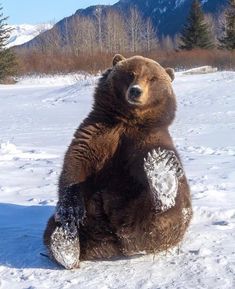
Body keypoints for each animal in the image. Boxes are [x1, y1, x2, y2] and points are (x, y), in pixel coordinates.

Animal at [43, 53, 192, 268]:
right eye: (131, 73)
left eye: (152, 78)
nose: (136, 91)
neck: (127, 120)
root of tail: (116, 243)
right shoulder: (97, 133)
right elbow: (75, 166)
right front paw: (72, 211)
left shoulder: (145, 139)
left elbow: (140, 167)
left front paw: (161, 166)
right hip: (90, 219)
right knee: (54, 227)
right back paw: (66, 245)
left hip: (153, 218)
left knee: (166, 216)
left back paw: (162, 177)